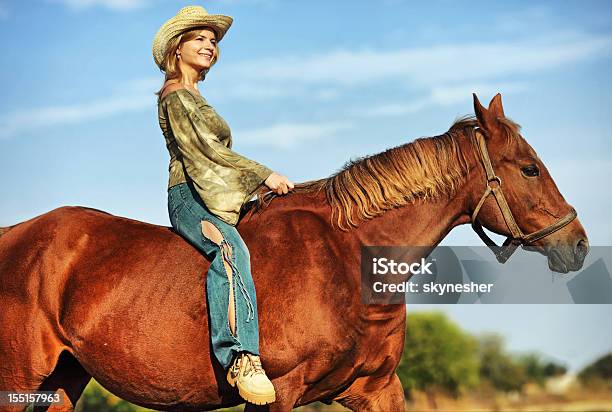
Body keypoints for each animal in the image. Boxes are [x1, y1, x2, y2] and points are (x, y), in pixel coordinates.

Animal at [0, 94, 584, 412]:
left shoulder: (376, 388)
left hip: (60, 384)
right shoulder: (280, 393)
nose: (576, 243)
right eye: (529, 168)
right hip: (20, 382)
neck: (344, 260)